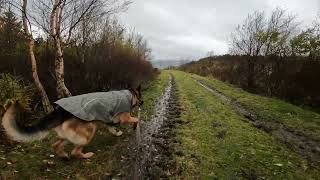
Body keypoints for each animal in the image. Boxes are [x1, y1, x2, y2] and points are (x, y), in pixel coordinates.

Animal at [0, 86, 142, 158]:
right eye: (141, 97)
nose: (143, 102)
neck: (130, 95)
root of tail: (61, 111)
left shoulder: (109, 120)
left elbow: (112, 128)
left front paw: (117, 133)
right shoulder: (125, 117)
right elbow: (137, 119)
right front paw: (136, 126)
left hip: (67, 135)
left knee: (55, 145)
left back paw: (64, 155)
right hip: (89, 130)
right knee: (75, 151)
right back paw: (86, 155)